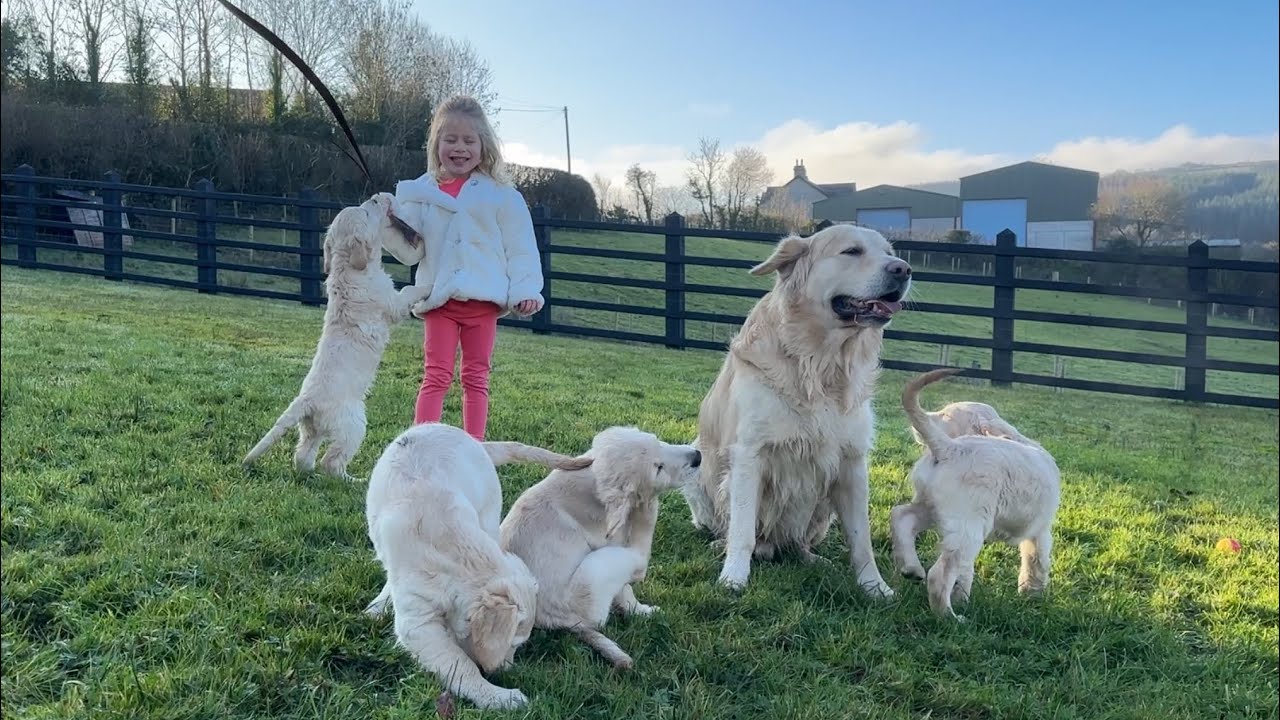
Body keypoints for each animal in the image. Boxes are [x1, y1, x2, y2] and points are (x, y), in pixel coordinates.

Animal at [363, 420, 591, 707]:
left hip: (489, 511)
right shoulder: (418, 623)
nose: (505, 670)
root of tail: (473, 440)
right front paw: (499, 696)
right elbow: (459, 664)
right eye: (514, 644)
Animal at [496, 425, 701, 666]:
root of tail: (560, 624)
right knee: (637, 557)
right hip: (595, 572)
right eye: (658, 468)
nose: (698, 457)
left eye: (658, 441)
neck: (592, 484)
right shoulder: (614, 539)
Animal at [680, 224, 911, 594]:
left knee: (797, 542)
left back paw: (812, 558)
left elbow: (861, 540)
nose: (903, 269)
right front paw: (733, 578)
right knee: (735, 532)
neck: (821, 365)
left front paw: (875, 587)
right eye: (852, 251)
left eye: (890, 252)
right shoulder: (749, 454)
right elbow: (742, 530)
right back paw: (723, 546)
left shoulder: (852, 462)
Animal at [890, 366, 1059, 620]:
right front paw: (1032, 593)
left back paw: (912, 568)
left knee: (901, 516)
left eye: (945, 416)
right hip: (968, 525)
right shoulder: (1039, 528)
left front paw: (963, 598)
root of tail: (949, 446)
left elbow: (965, 573)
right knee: (939, 576)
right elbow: (1037, 559)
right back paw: (950, 617)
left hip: (935, 508)